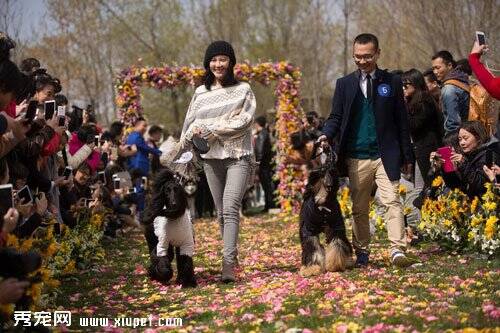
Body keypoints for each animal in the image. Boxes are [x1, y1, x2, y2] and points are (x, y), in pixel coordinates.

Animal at [298, 139, 354, 274]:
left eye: (333, 171)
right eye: (323, 171)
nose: (327, 147)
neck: (322, 202)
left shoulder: (335, 227)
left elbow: (337, 244)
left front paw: (335, 265)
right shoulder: (309, 230)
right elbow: (312, 247)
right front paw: (312, 268)